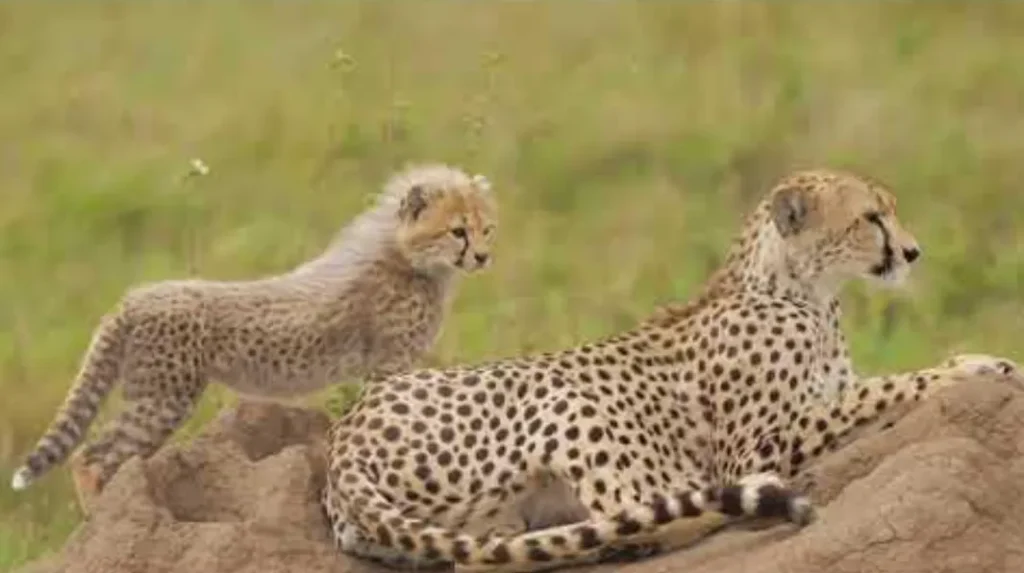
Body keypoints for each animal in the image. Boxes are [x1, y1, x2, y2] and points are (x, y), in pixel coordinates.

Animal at [10, 163, 499, 510]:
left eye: (486, 228)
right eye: (457, 230)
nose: (482, 256)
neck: (407, 258)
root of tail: (137, 297)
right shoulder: (390, 364)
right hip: (163, 399)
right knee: (89, 457)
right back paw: (97, 518)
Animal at [320, 167, 1020, 572]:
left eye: (889, 212)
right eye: (870, 218)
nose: (912, 252)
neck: (805, 292)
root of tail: (345, 438)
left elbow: (871, 388)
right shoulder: (753, 448)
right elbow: (889, 388)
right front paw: (980, 366)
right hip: (562, 397)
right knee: (642, 509)